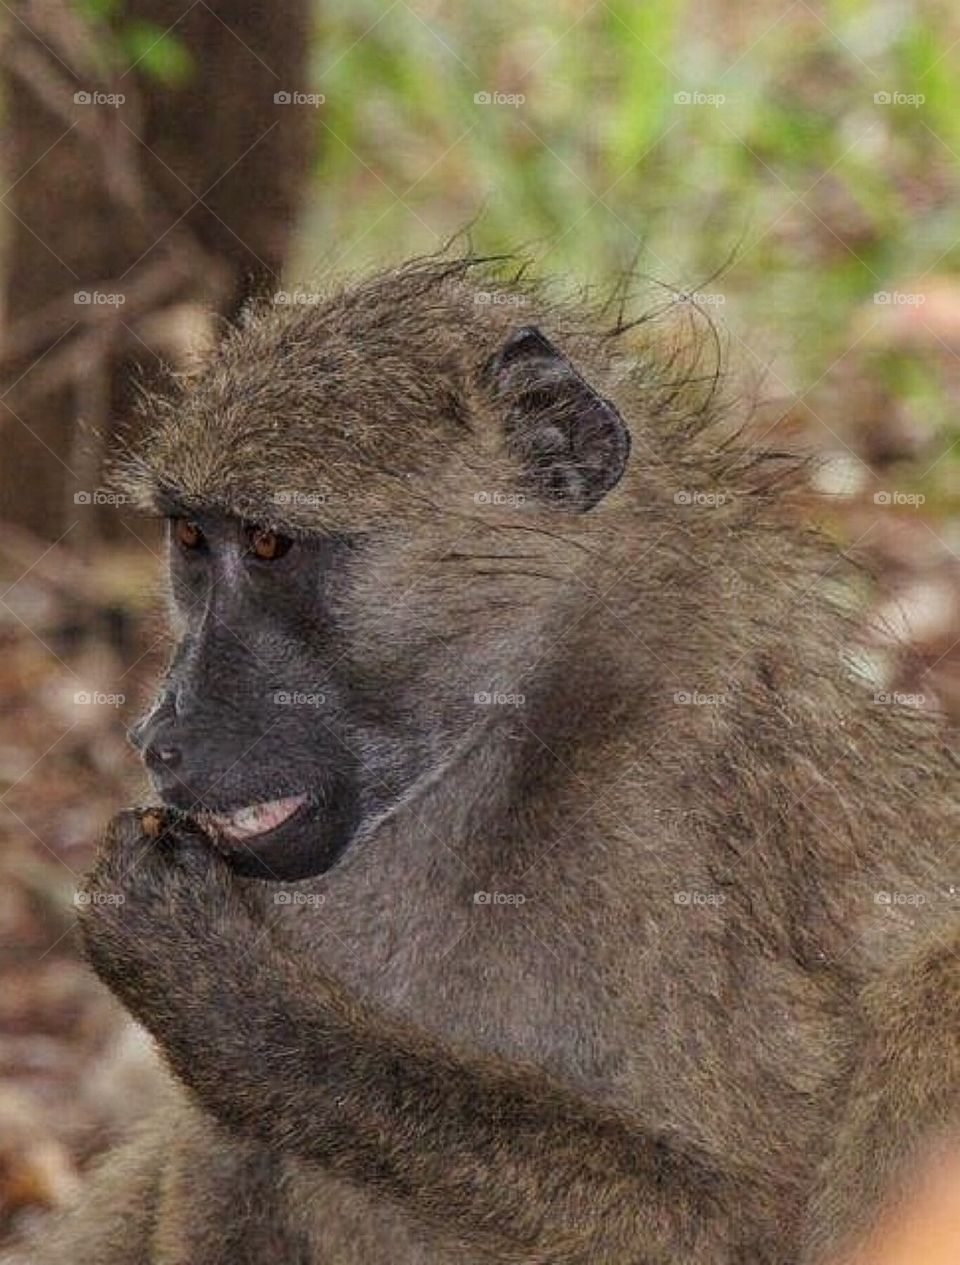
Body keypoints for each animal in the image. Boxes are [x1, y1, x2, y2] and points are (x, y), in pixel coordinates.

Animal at [8, 255, 960, 1265]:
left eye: (268, 544)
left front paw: (222, 995)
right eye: (191, 538)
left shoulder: (674, 831)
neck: (524, 729)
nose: (159, 737)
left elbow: (745, 1218)